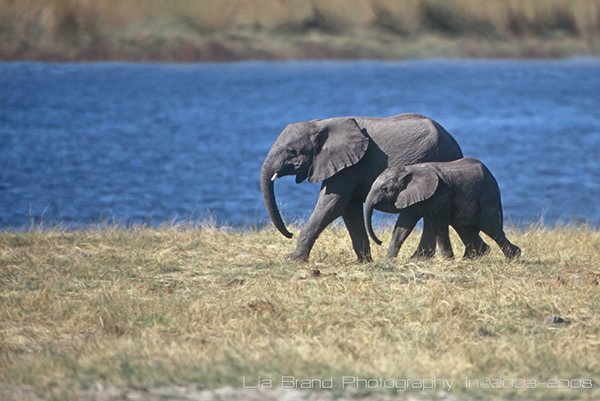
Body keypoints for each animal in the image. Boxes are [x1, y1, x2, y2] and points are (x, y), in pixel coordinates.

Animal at [260, 113, 486, 262]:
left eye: (291, 151)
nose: (289, 233)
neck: (320, 124)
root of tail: (454, 143)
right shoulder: (348, 165)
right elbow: (349, 208)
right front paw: (364, 262)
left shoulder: (350, 167)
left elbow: (332, 204)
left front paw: (292, 260)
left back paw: (418, 259)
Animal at [360, 156, 520, 260]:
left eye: (385, 189)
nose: (380, 242)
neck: (409, 169)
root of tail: (493, 179)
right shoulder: (412, 197)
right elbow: (403, 226)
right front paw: (388, 261)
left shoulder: (439, 194)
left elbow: (439, 225)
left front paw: (447, 260)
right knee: (466, 227)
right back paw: (474, 257)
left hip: (486, 198)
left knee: (490, 227)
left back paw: (514, 256)